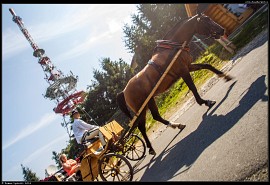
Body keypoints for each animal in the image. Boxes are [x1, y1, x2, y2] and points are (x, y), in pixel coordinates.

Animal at [116, 10, 232, 155]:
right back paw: (151, 148)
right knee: (141, 127)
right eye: (206, 20)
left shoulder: (189, 66)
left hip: (150, 102)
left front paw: (224, 75)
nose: (222, 30)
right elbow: (193, 88)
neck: (173, 48)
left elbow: (207, 65)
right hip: (141, 109)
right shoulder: (183, 71)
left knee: (156, 117)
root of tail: (124, 91)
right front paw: (205, 102)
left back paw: (177, 126)